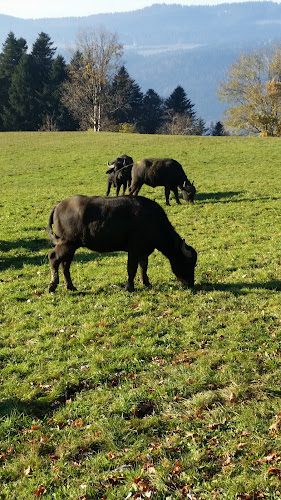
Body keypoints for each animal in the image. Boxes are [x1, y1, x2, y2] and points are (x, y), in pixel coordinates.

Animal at [47, 192, 196, 292]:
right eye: (186, 262)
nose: (190, 283)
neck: (153, 221)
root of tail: (58, 206)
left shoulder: (143, 252)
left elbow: (143, 266)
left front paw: (146, 283)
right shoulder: (134, 251)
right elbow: (131, 268)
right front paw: (129, 287)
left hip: (71, 247)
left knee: (65, 265)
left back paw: (70, 286)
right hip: (66, 244)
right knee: (53, 258)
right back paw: (52, 286)